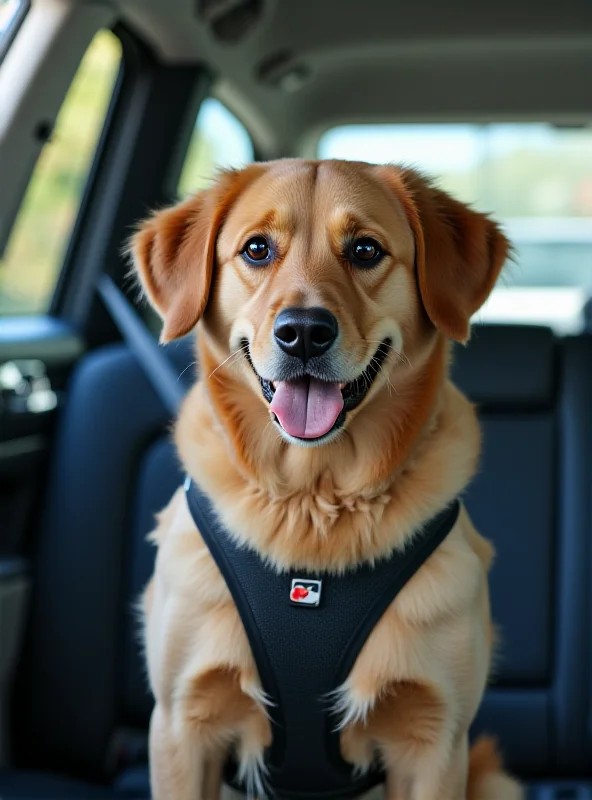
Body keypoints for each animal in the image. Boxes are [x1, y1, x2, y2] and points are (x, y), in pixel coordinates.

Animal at [133, 158, 524, 800]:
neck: (312, 499)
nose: (304, 332)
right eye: (257, 249)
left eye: (365, 249)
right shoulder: (181, 726)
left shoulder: (435, 740)